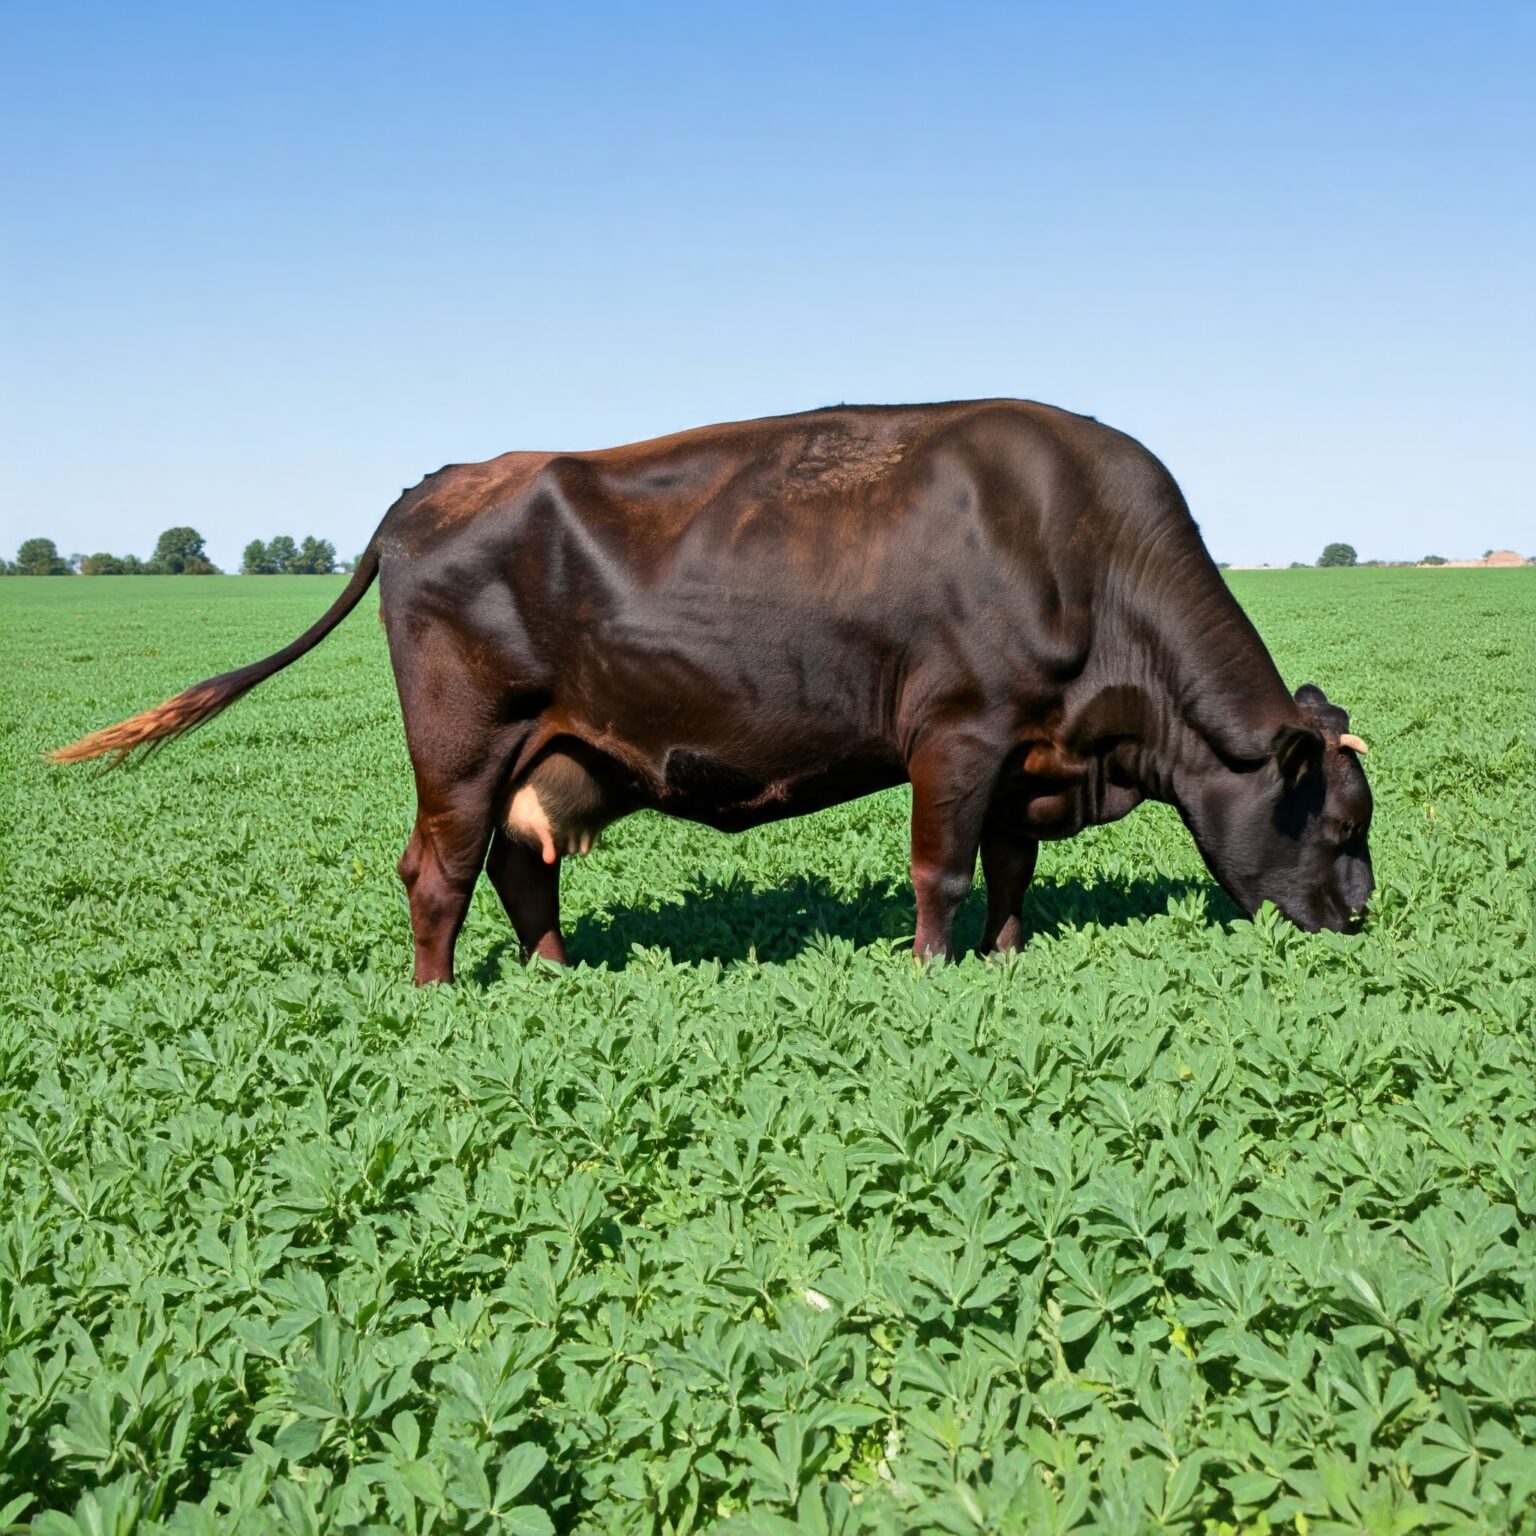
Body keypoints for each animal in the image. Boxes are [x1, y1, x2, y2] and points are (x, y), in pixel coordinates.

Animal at [48, 402, 1376, 983]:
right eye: (1339, 825)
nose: (1359, 920)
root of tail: (441, 480)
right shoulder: (958, 734)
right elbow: (942, 870)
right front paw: (933, 974)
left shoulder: (1025, 755)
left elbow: (1010, 870)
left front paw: (1006, 958)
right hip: (462, 746)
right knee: (439, 871)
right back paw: (436, 1003)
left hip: (548, 749)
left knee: (520, 863)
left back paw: (555, 977)